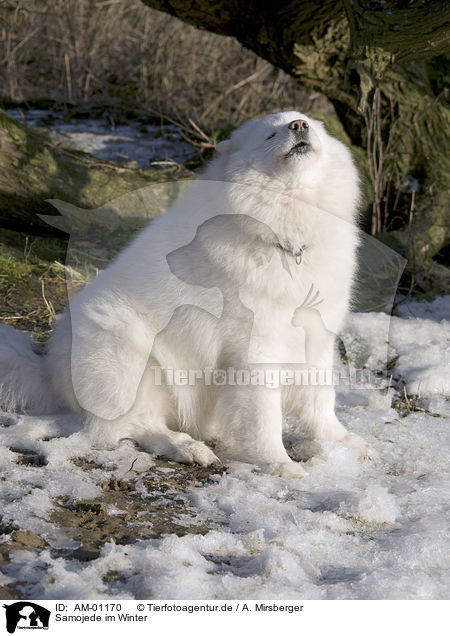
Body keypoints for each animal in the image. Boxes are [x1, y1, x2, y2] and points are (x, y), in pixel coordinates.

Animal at [0, 110, 368, 476]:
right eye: (270, 134)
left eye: (311, 125)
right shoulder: (255, 350)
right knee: (127, 427)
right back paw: (189, 448)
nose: (299, 126)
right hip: (133, 357)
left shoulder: (315, 336)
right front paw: (279, 464)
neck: (286, 235)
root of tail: (48, 372)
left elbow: (320, 402)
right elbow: (264, 417)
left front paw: (340, 441)